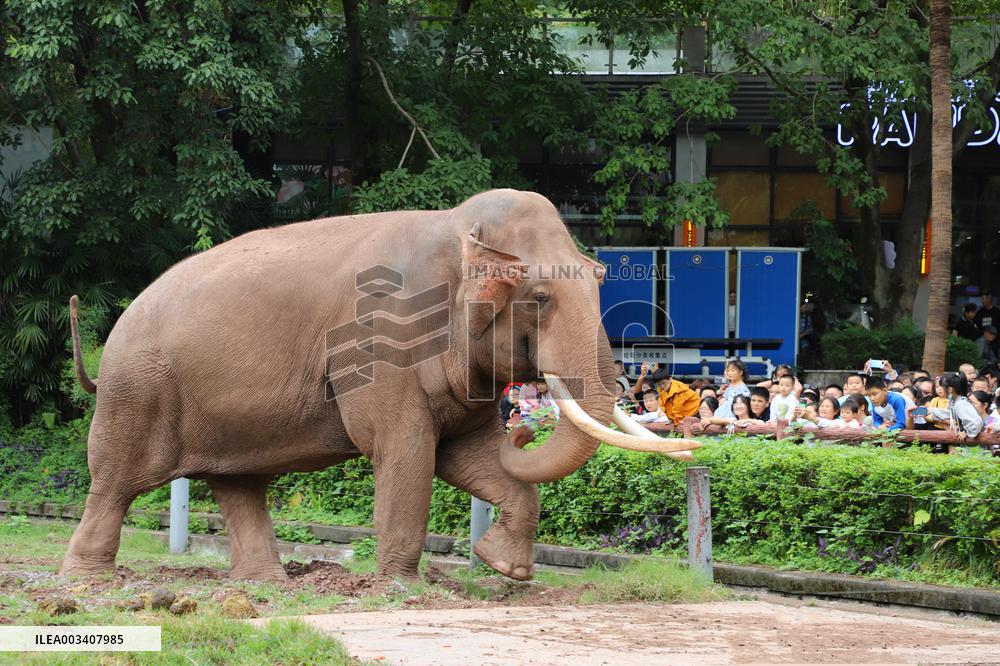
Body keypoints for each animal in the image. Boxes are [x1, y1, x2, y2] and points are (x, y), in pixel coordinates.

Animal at [61, 189, 699, 582]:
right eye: (540, 296)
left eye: (599, 275)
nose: (523, 429)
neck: (454, 229)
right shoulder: (380, 345)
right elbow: (406, 451)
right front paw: (397, 586)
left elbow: (467, 456)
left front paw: (506, 570)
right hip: (138, 391)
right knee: (114, 480)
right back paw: (88, 580)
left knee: (239, 484)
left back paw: (268, 584)